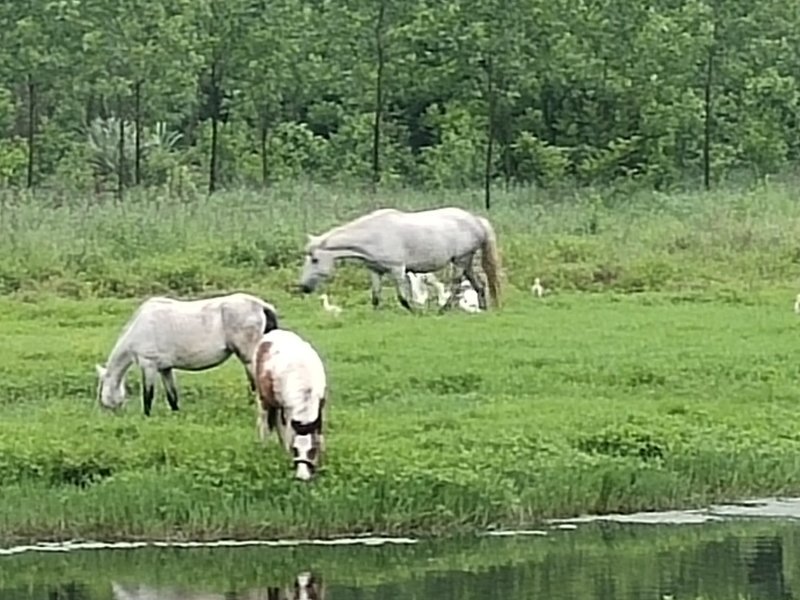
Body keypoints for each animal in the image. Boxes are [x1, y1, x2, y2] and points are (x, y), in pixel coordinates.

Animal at [95, 292, 279, 416]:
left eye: (101, 388)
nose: (106, 412)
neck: (140, 327)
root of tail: (261, 305)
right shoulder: (165, 368)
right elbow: (172, 395)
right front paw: (176, 413)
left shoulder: (149, 365)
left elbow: (148, 394)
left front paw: (146, 415)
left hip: (248, 358)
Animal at [252, 328, 328, 482]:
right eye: (295, 449)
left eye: (312, 450)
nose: (302, 477)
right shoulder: (289, 411)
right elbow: (288, 433)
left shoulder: (320, 406)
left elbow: (319, 433)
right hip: (263, 399)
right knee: (265, 423)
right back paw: (265, 447)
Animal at [297, 206, 502, 313]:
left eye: (314, 259)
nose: (303, 287)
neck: (374, 234)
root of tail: (476, 220)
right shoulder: (375, 271)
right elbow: (375, 297)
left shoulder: (397, 270)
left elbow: (402, 298)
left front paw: (415, 312)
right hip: (466, 261)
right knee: (479, 284)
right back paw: (483, 308)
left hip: (460, 260)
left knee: (456, 285)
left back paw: (442, 310)